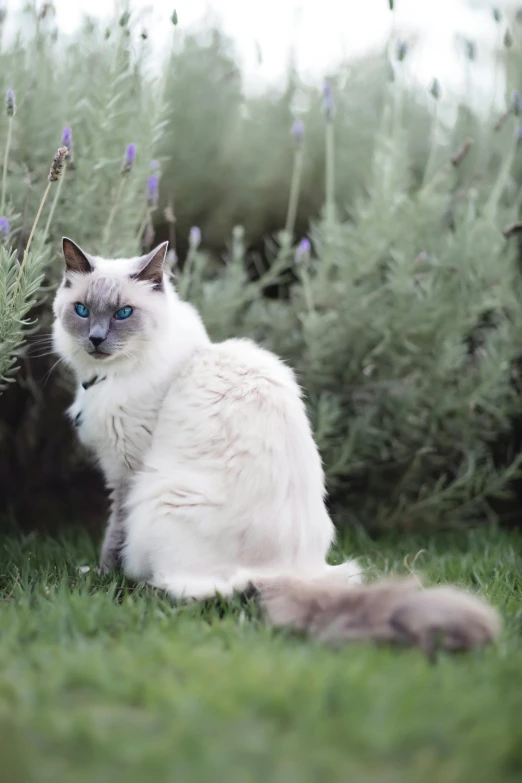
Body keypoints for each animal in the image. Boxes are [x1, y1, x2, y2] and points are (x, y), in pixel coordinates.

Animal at [52, 237, 500, 656]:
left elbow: (113, 536)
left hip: (158, 496)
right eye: (82, 311)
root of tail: (285, 572)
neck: (109, 377)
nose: (96, 339)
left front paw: (102, 575)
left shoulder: (126, 472)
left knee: (191, 591)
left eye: (123, 313)